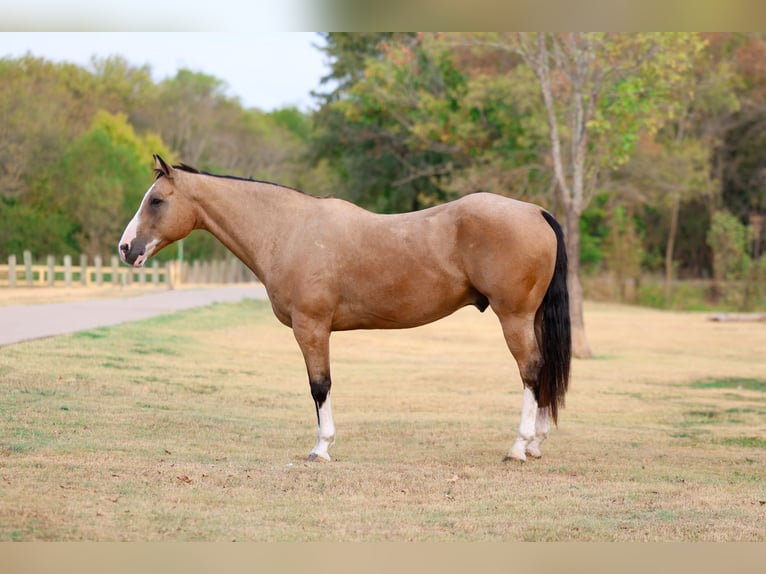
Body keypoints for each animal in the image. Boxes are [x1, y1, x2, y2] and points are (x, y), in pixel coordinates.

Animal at [119, 155, 571, 462]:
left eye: (156, 200)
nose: (126, 248)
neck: (288, 230)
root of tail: (536, 211)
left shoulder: (311, 328)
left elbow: (320, 386)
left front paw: (321, 448)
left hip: (513, 317)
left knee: (530, 370)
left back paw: (518, 447)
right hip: (528, 317)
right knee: (543, 369)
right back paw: (536, 444)